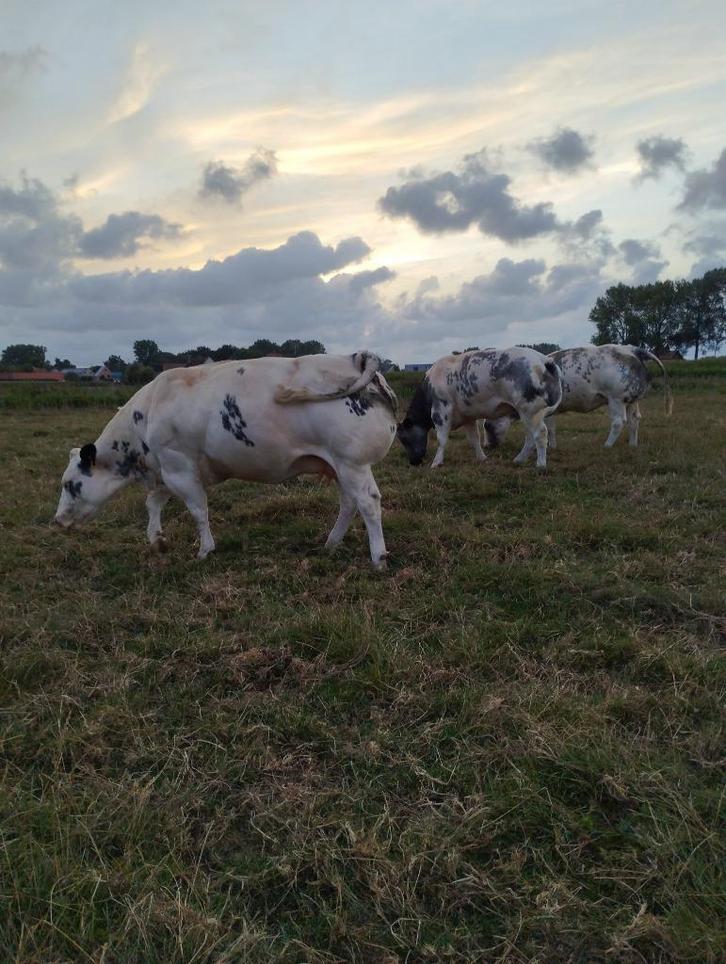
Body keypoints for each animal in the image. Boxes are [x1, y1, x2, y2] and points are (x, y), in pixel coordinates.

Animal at [54, 352, 398, 569]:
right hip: (339, 465)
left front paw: (205, 550)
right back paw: (331, 543)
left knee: (368, 503)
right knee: (349, 503)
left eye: (70, 484)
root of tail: (355, 359)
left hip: (352, 463)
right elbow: (153, 503)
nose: (56, 521)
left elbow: (198, 511)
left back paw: (378, 557)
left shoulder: (179, 467)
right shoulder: (168, 469)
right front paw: (156, 539)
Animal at [396, 346, 563, 470]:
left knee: (540, 435)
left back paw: (540, 465)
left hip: (530, 411)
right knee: (530, 438)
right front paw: (481, 458)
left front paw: (436, 462)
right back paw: (519, 459)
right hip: (530, 414)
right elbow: (474, 439)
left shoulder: (441, 412)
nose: (413, 462)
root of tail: (544, 360)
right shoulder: (468, 417)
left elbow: (442, 439)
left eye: (404, 439)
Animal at [486, 345, 673, 456]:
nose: (488, 446)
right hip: (632, 400)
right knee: (635, 420)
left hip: (616, 399)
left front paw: (549, 446)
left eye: (487, 426)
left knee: (619, 422)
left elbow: (549, 428)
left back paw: (607, 445)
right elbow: (552, 428)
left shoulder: (545, 410)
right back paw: (633, 445)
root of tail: (633, 350)